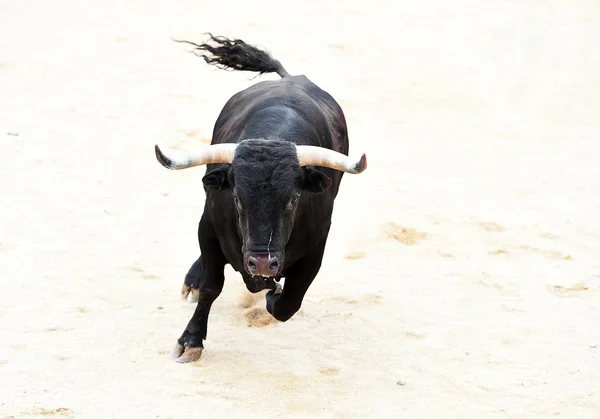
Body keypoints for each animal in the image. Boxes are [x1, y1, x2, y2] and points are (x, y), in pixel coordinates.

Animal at [155, 37, 368, 364]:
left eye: (293, 199)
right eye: (237, 199)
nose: (263, 264)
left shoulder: (316, 248)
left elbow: (288, 303)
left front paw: (272, 292)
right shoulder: (209, 227)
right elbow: (211, 287)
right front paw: (190, 340)